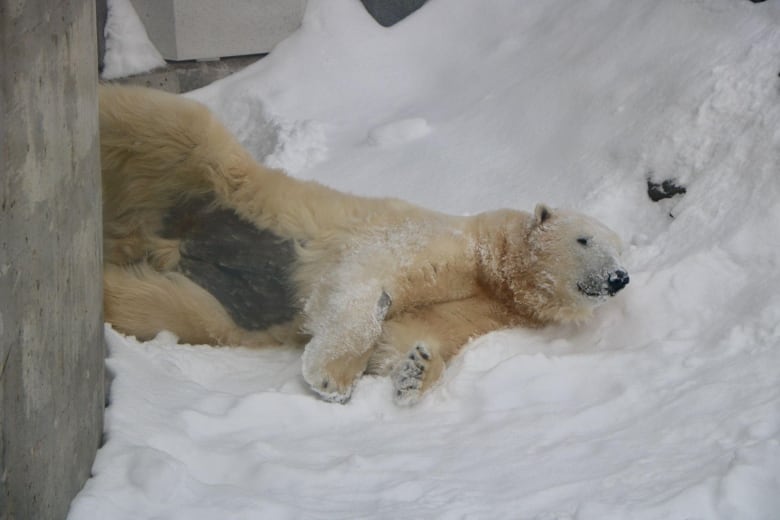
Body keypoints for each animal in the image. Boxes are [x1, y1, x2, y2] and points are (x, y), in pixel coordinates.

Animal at [102, 85, 628, 404]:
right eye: (585, 238)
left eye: (621, 249)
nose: (619, 277)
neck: (495, 267)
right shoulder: (436, 240)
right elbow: (367, 277)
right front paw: (332, 376)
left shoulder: (490, 309)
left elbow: (417, 331)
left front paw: (416, 369)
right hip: (223, 179)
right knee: (168, 125)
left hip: (219, 303)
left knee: (161, 305)